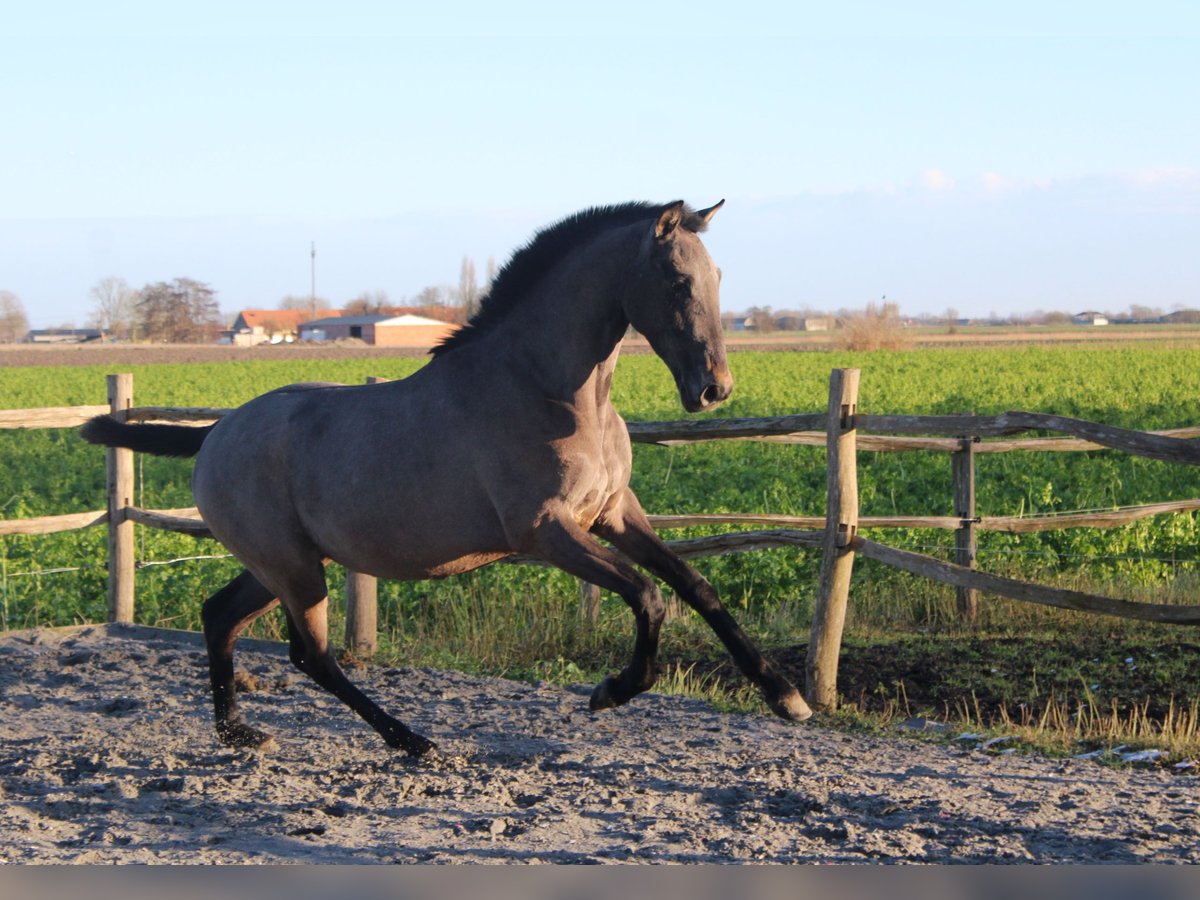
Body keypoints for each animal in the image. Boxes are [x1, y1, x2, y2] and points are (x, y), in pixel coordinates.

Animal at [82, 200, 816, 758]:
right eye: (676, 281)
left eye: (717, 275)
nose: (714, 390)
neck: (549, 392)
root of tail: (216, 433)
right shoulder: (545, 532)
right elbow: (648, 596)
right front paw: (611, 691)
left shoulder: (614, 513)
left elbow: (695, 586)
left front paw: (786, 696)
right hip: (293, 568)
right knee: (310, 655)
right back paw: (412, 740)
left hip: (282, 566)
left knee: (221, 617)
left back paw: (240, 732)